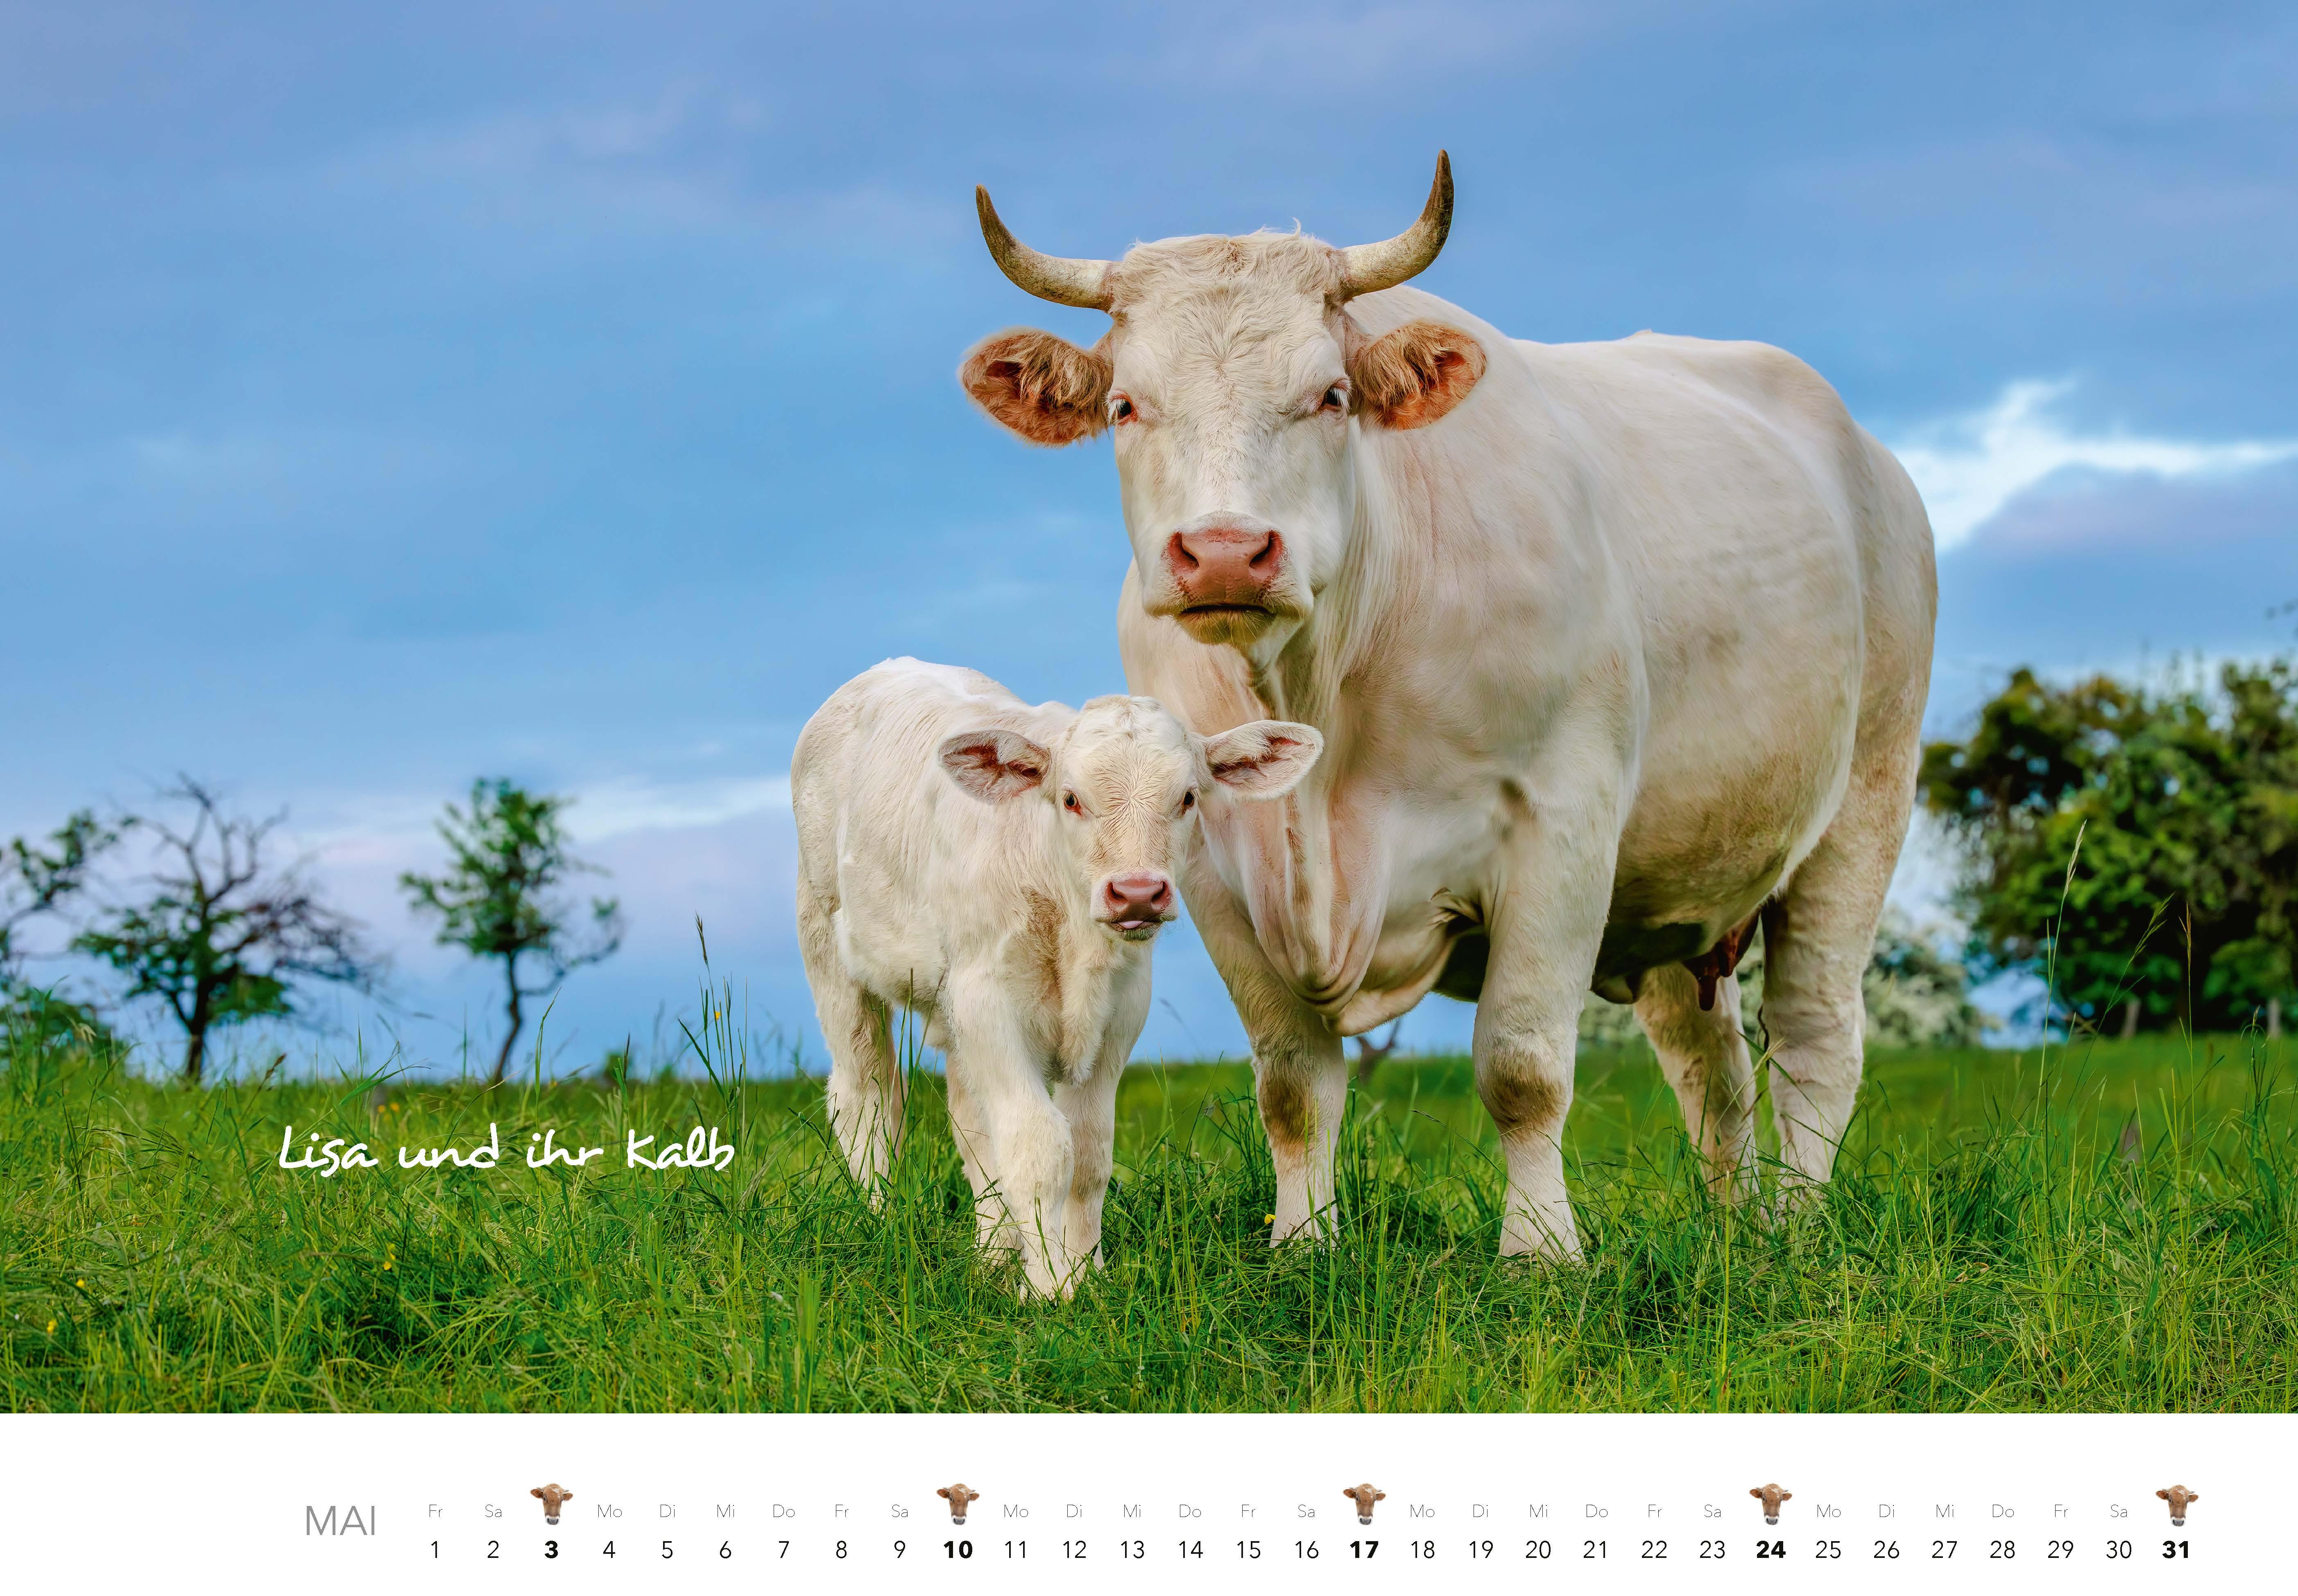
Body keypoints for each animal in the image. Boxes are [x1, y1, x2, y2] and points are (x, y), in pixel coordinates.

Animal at [793, 659, 1320, 1296]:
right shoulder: (988, 1000)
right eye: (1071, 799)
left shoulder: (1119, 1011)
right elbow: (1038, 1146)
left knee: (968, 1117)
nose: (1137, 893)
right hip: (826, 941)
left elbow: (1088, 1155)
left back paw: (993, 1253)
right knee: (866, 1095)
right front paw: (1050, 1286)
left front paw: (1085, 1270)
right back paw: (883, 1221)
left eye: (1188, 797)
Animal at [959, 153, 1936, 1258]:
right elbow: (1292, 1084)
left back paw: (1800, 1227)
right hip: (1680, 891)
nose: (1223, 552)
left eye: (1332, 394)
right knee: (1708, 1059)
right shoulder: (1207, 863)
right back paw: (1737, 1231)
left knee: (1815, 1034)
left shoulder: (1563, 821)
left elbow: (1521, 1067)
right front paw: (1303, 1244)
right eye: (1126, 405)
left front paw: (1542, 1252)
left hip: (1866, 795)